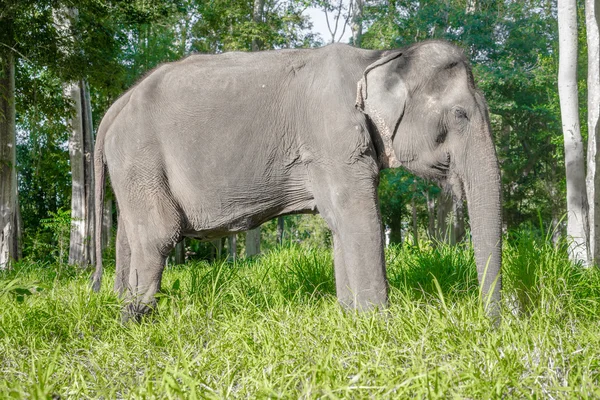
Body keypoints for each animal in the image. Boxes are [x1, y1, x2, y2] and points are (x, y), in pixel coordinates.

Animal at [91, 40, 504, 322]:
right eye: (461, 114)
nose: (493, 326)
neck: (376, 57)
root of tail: (117, 105)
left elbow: (341, 225)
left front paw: (351, 320)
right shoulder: (332, 138)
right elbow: (360, 221)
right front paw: (381, 329)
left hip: (131, 169)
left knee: (129, 237)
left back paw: (119, 309)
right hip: (140, 159)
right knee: (158, 236)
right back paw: (136, 323)